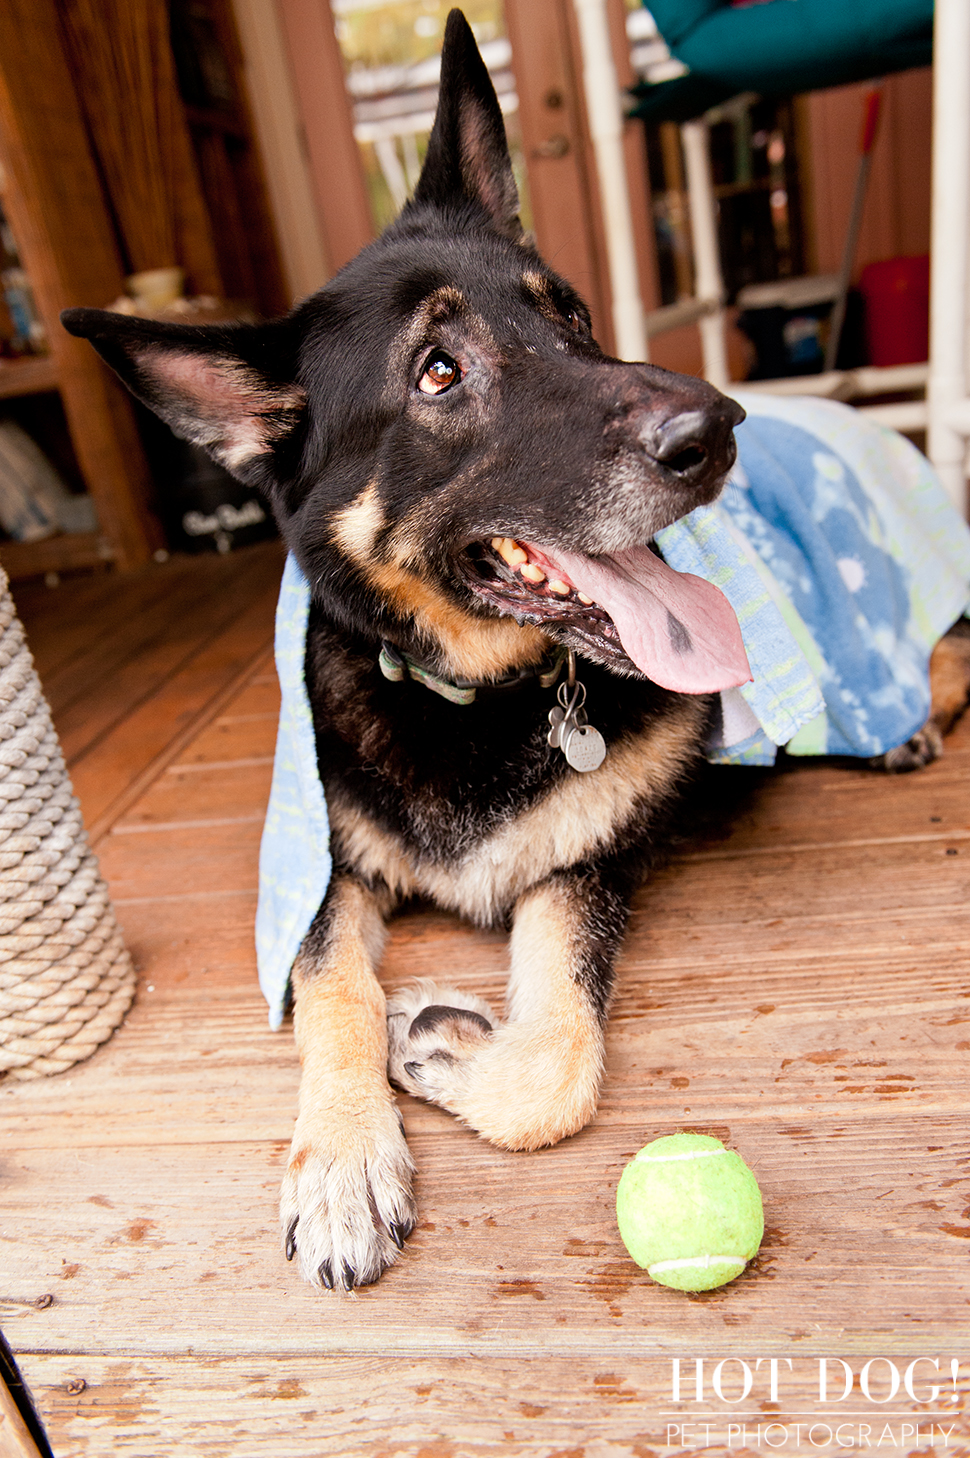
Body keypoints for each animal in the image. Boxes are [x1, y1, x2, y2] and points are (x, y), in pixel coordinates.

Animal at [64, 8, 968, 1288]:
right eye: (437, 372)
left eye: (572, 315)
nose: (716, 429)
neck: (467, 700)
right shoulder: (328, 874)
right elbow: (331, 987)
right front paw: (342, 1159)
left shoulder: (581, 869)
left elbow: (555, 1065)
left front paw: (441, 1046)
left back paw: (909, 724)